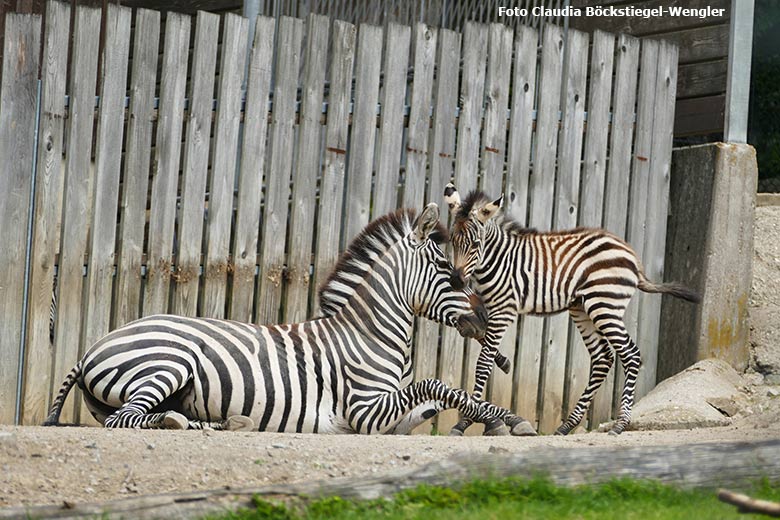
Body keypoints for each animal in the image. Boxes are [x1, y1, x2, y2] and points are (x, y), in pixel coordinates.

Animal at [42, 203, 536, 434]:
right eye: (448, 272)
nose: (487, 317)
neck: (369, 335)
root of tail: (92, 346)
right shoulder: (364, 410)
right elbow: (438, 385)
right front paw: (504, 419)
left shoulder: (389, 415)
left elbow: (435, 400)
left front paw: (499, 417)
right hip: (167, 363)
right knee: (126, 418)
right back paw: (183, 424)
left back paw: (219, 423)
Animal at [442, 185, 704, 436]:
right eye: (452, 240)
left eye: (475, 244)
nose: (455, 281)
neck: (497, 260)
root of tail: (631, 255)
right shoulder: (489, 308)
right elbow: (480, 343)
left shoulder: (504, 309)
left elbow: (483, 364)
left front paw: (465, 421)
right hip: (583, 309)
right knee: (603, 358)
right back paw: (567, 426)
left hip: (605, 306)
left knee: (630, 354)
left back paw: (620, 425)